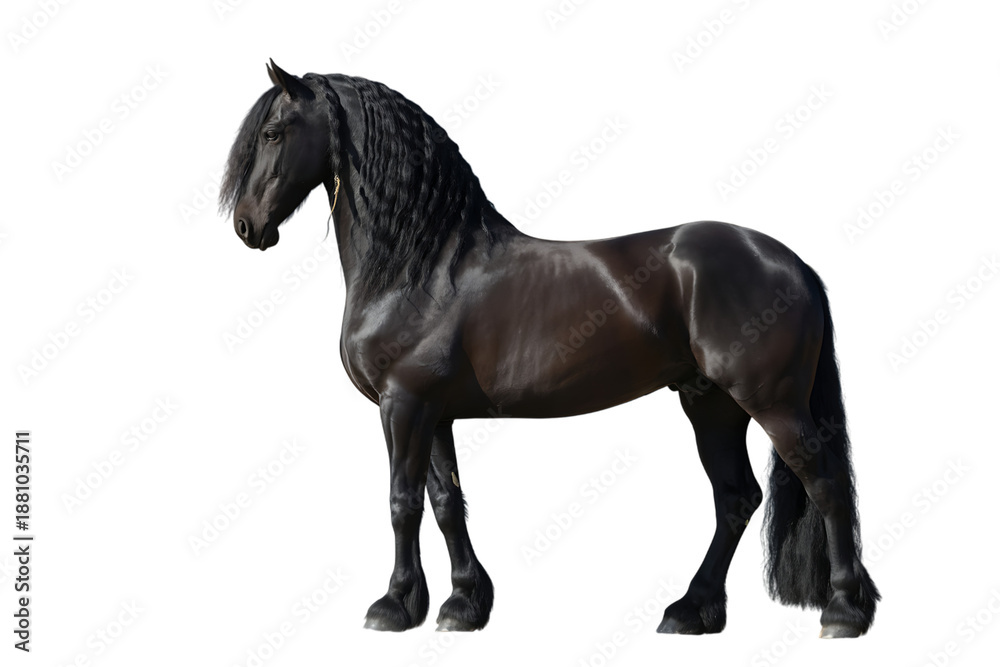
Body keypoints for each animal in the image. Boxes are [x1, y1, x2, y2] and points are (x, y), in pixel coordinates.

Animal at [220, 60, 880, 638]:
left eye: (273, 132)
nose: (248, 227)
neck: (423, 266)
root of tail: (792, 264)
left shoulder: (403, 405)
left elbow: (402, 501)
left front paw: (393, 605)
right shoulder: (431, 412)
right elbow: (446, 501)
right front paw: (463, 604)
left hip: (773, 404)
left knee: (824, 484)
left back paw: (843, 611)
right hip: (711, 404)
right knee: (736, 498)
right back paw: (691, 611)